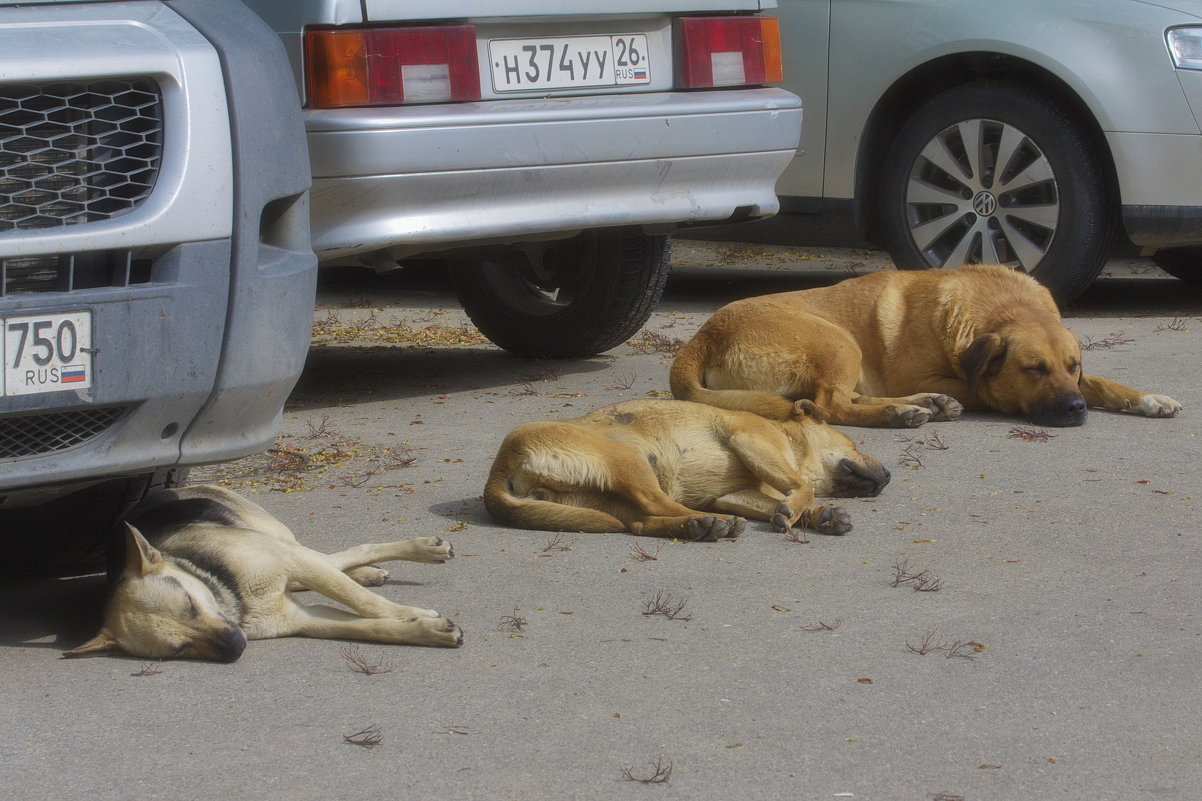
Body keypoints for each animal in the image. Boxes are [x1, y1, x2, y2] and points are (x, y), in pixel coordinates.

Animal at [63, 481, 461, 659]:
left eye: (190, 605)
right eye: (177, 651)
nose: (236, 646)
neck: (231, 597)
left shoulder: (289, 560)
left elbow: (366, 604)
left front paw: (413, 613)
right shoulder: (305, 620)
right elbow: (374, 628)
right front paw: (427, 630)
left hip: (279, 538)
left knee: (339, 557)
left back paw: (419, 551)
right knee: (330, 566)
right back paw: (369, 573)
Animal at [483, 396, 889, 536]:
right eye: (854, 443)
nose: (888, 476)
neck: (788, 438)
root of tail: (499, 470)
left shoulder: (736, 493)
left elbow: (783, 500)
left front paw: (819, 516)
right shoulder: (752, 440)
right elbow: (799, 488)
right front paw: (804, 508)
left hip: (602, 500)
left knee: (640, 523)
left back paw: (700, 526)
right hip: (629, 461)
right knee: (659, 505)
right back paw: (713, 522)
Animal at [668, 262, 1182, 428]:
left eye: (1072, 365)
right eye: (1033, 369)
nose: (1076, 410)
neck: (1004, 308)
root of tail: (704, 335)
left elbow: (1106, 382)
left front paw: (1148, 399)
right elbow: (983, 388)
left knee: (837, 398)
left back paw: (922, 405)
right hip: (838, 341)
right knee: (830, 404)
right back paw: (902, 412)